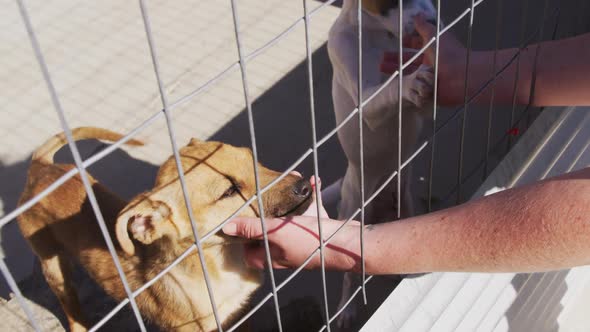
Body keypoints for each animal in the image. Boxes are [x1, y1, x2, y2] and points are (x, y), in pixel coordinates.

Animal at [17, 126, 314, 330]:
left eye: (253, 159)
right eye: (229, 191)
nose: (305, 187)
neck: (221, 263)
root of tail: (39, 170)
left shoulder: (241, 313)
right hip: (53, 268)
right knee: (69, 306)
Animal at [328, 0, 440, 326]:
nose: (433, 21)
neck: (377, 32)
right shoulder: (365, 101)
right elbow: (387, 89)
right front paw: (410, 83)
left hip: (406, 205)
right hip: (351, 215)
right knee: (350, 276)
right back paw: (346, 308)